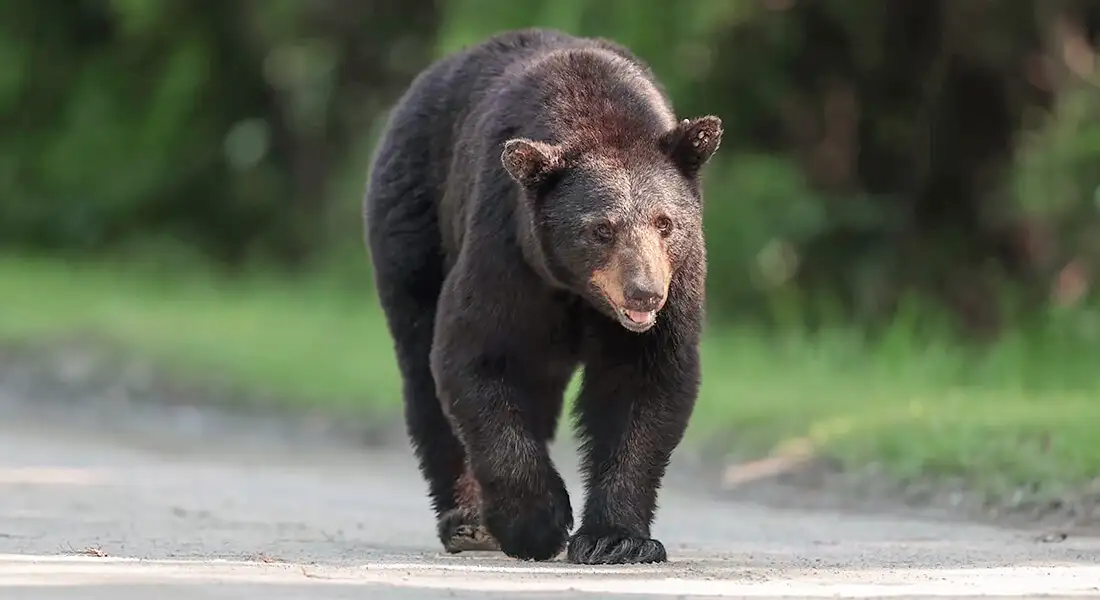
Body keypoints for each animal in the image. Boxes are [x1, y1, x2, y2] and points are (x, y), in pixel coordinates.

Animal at [363, 27, 722, 565]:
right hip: (412, 221)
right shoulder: (507, 251)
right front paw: (536, 523)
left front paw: (616, 539)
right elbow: (475, 357)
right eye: (600, 229)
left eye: (665, 223)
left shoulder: (679, 281)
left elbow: (646, 380)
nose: (645, 293)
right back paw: (468, 522)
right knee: (421, 364)